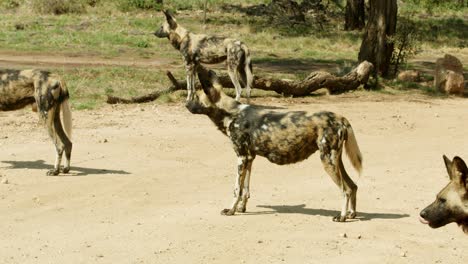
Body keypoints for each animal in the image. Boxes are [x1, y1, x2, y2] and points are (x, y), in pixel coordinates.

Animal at [185, 66, 364, 221]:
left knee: (344, 190)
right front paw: (242, 208)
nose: (186, 105)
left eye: (195, 97)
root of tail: (341, 118)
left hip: (327, 161)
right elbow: (245, 189)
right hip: (335, 160)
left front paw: (231, 210)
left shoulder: (241, 158)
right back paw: (351, 214)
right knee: (352, 186)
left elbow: (236, 189)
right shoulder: (249, 158)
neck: (231, 113)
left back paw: (341, 217)